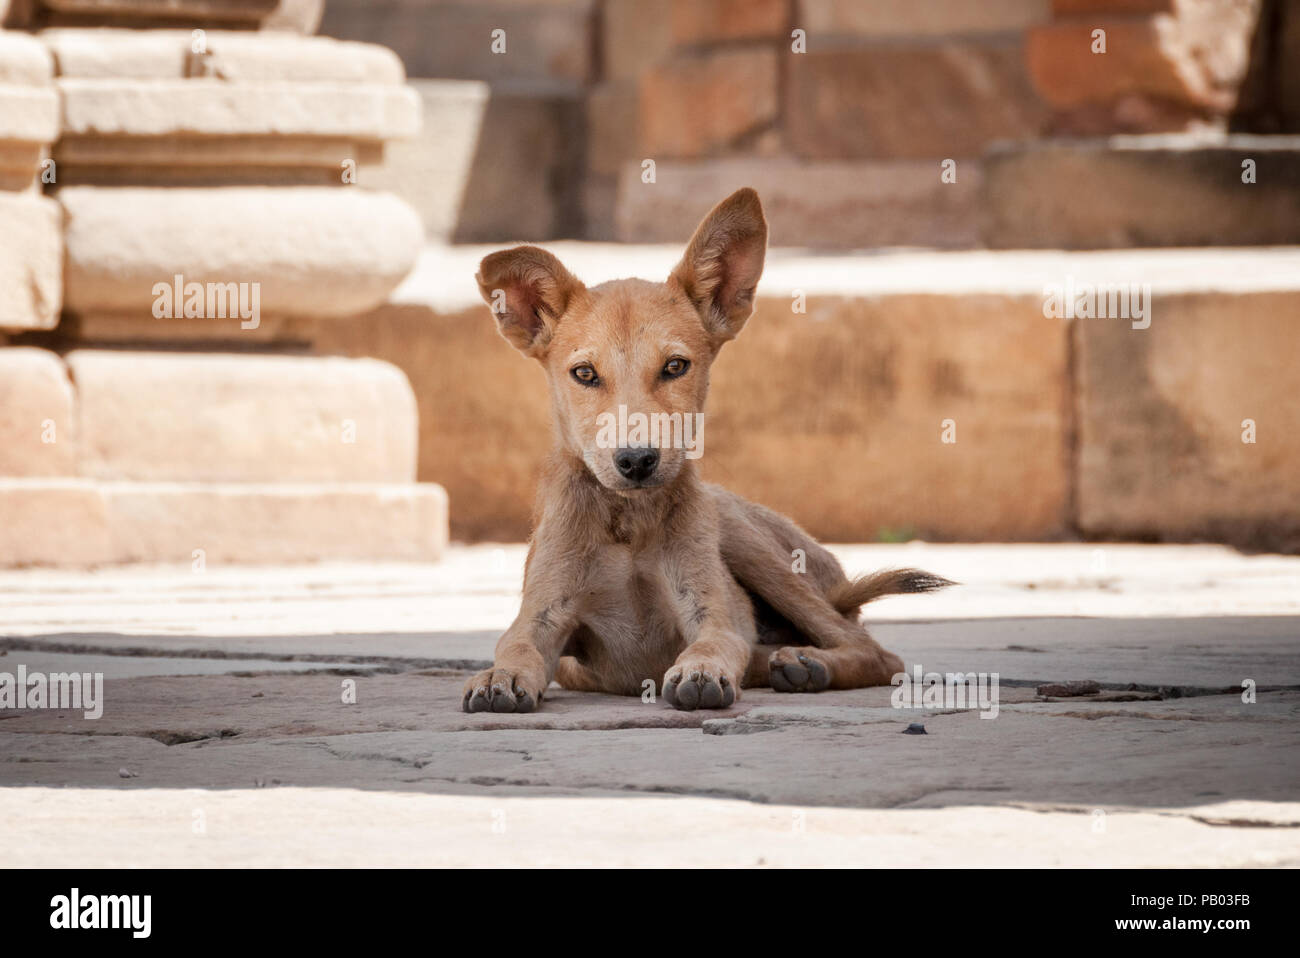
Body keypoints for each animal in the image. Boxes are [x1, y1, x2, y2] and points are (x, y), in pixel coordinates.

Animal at [462, 187, 951, 712]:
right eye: (585, 374)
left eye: (675, 366)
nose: (636, 461)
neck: (628, 523)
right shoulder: (542, 614)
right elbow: (516, 646)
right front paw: (499, 676)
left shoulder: (709, 611)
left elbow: (716, 641)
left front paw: (701, 669)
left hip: (750, 544)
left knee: (872, 651)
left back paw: (805, 663)